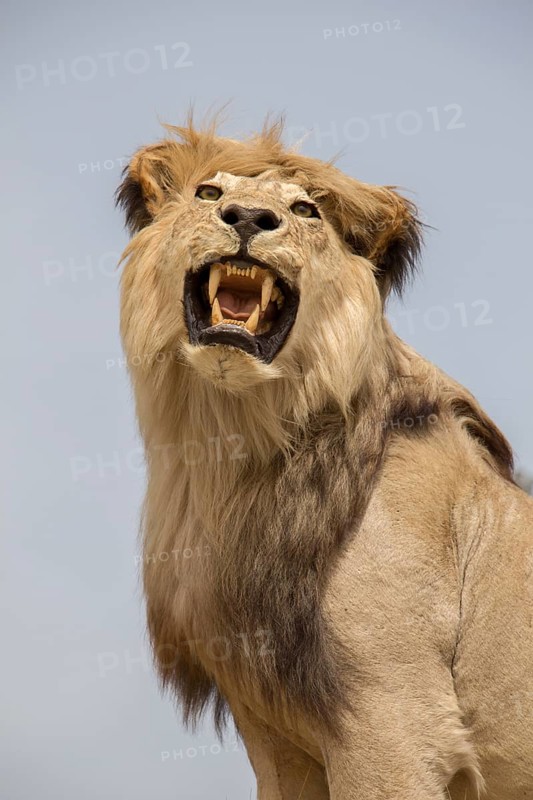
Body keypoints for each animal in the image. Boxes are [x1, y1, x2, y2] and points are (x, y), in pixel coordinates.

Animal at [116, 114, 533, 799]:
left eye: (304, 210)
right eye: (209, 193)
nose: (247, 218)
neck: (233, 449)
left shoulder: (396, 721)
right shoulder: (277, 740)